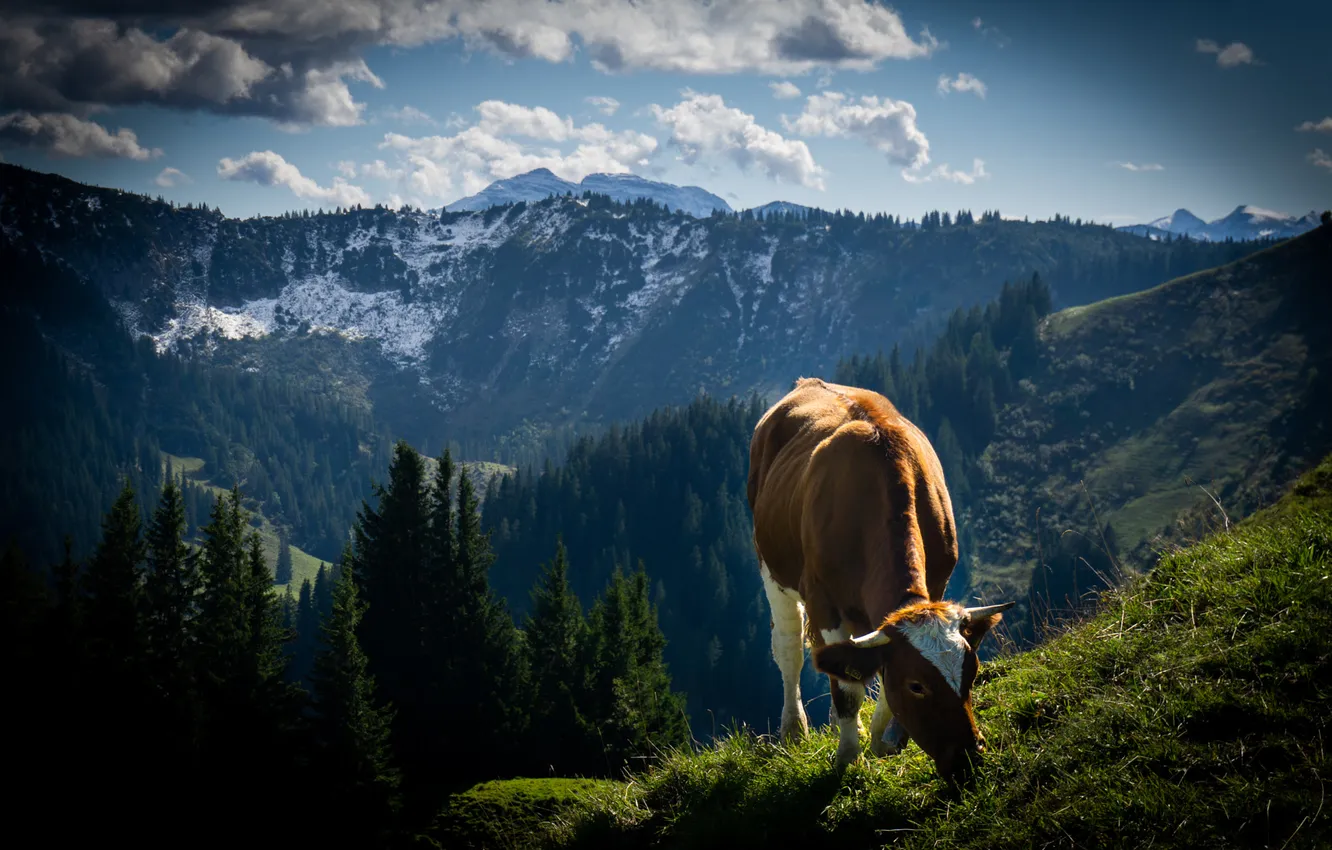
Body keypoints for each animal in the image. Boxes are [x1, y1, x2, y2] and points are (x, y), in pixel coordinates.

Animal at [747, 377, 1013, 782]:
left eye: (972, 670)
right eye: (917, 686)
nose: (969, 756)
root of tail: (807, 383)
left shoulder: (936, 584)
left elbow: (874, 674)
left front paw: (883, 740)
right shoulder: (824, 602)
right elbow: (847, 689)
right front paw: (849, 756)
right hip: (771, 566)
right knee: (789, 648)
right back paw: (793, 728)